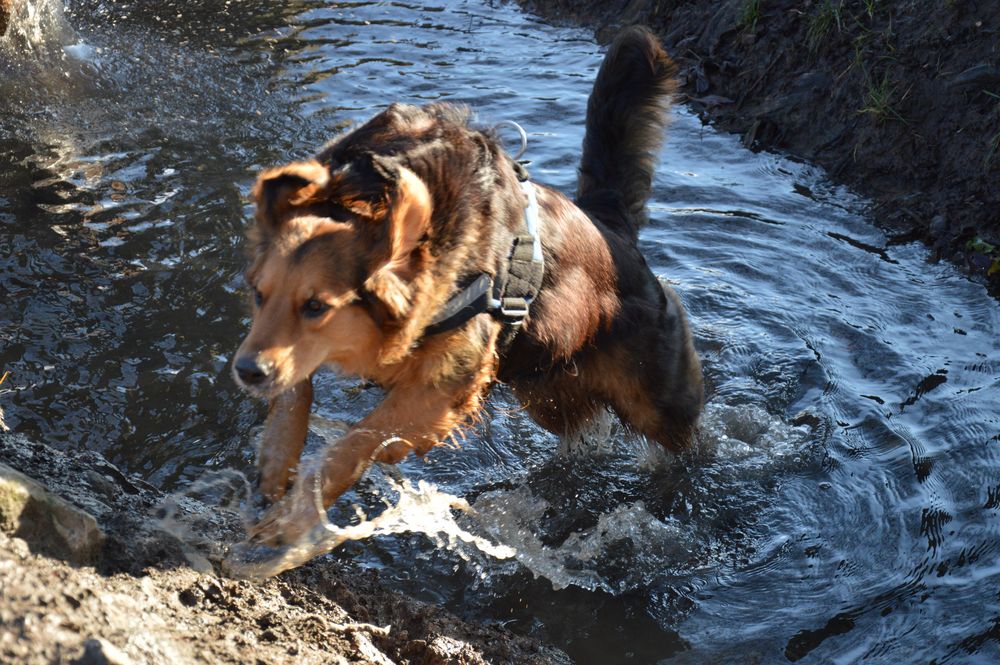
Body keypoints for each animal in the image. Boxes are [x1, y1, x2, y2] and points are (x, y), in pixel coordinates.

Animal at [234, 26, 704, 544]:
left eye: (317, 306)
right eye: (259, 295)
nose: (246, 372)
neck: (370, 187)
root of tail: (608, 225)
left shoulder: (451, 380)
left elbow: (360, 439)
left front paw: (300, 514)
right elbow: (294, 396)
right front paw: (275, 468)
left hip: (656, 398)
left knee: (685, 447)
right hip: (546, 386)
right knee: (583, 432)